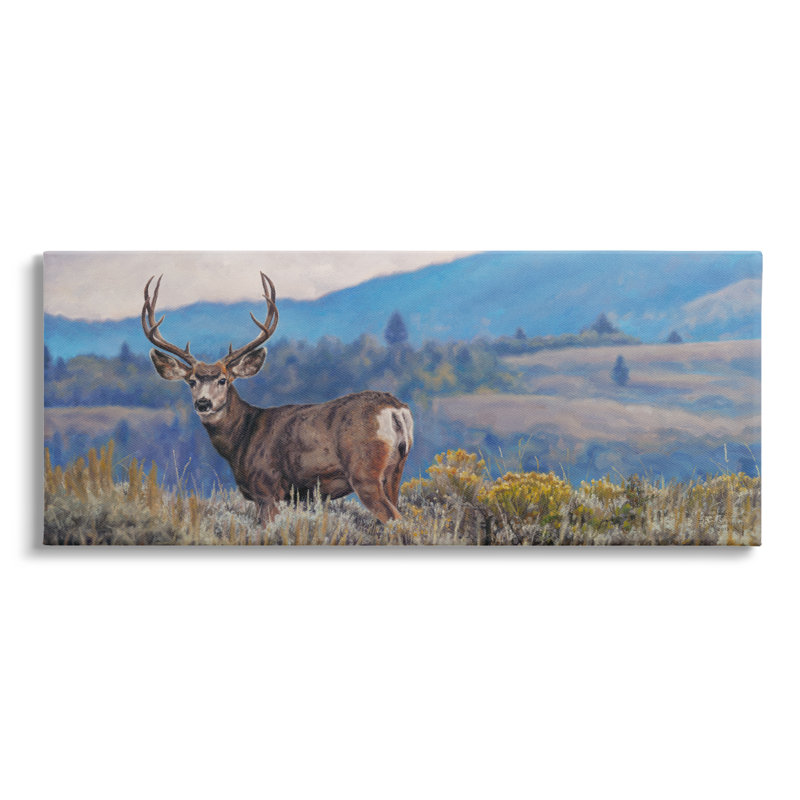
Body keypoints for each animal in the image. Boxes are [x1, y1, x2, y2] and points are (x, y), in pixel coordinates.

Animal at [142, 272, 413, 525]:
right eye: (191, 381)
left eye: (224, 380)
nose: (203, 403)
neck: (242, 438)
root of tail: (395, 409)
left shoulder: (266, 487)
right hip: (396, 469)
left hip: (364, 470)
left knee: (395, 518)